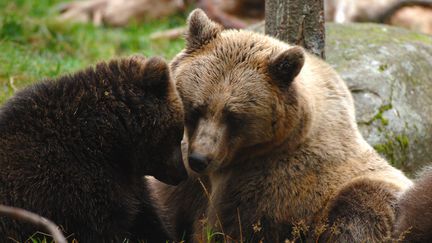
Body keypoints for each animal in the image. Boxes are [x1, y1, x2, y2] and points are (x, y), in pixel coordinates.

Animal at [0, 55, 187, 243]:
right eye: (178, 134)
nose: (182, 174)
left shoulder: (129, 180)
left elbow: (146, 217)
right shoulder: (77, 188)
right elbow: (105, 228)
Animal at [155, 8, 416, 242]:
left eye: (234, 117)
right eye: (196, 108)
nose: (200, 159)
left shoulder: (269, 186)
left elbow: (231, 227)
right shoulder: (187, 174)